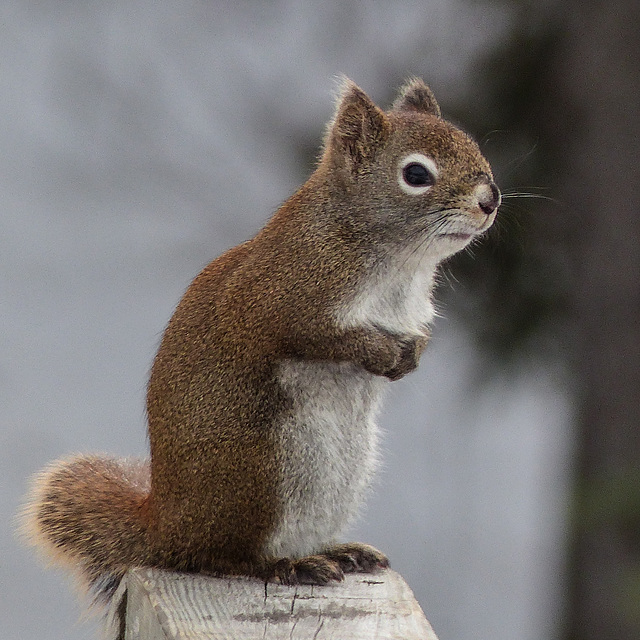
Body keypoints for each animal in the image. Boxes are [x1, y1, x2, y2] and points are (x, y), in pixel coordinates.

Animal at [18, 81, 500, 608]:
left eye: (475, 148)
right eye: (416, 174)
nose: (491, 200)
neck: (397, 262)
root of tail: (165, 529)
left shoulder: (411, 313)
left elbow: (418, 337)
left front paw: (410, 356)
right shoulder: (280, 296)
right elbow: (312, 335)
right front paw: (377, 352)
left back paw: (339, 551)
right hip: (262, 475)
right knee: (221, 558)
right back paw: (286, 565)